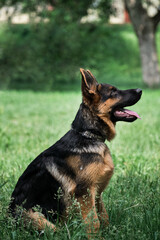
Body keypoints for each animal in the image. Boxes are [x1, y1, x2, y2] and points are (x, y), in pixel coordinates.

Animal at [9, 69, 142, 234]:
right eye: (113, 92)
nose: (140, 90)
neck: (88, 135)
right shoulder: (84, 193)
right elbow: (94, 222)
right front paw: (96, 237)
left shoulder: (97, 194)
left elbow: (103, 217)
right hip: (36, 217)